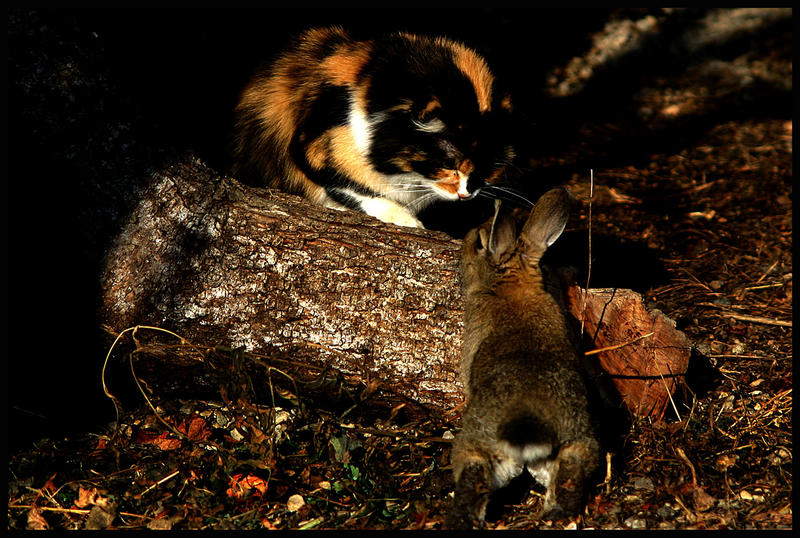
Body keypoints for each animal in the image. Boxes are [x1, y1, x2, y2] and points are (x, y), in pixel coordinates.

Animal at [231, 26, 520, 227]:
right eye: (450, 164)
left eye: (488, 167)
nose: (466, 194)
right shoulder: (313, 147)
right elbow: (355, 190)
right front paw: (409, 222)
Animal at [444, 187, 600, 528]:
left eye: (479, 242)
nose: (463, 244)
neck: (512, 285)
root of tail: (527, 426)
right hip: (575, 439)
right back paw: (556, 515)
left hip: (476, 444)